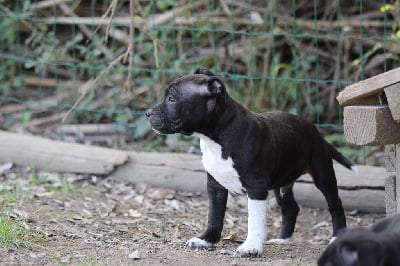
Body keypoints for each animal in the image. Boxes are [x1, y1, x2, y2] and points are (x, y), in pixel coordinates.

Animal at [145, 67, 358, 256]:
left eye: (171, 99)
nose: (147, 113)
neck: (216, 136)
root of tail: (316, 131)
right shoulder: (215, 185)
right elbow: (214, 216)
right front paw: (206, 240)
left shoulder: (256, 187)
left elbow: (254, 220)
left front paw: (251, 248)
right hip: (283, 181)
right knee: (291, 208)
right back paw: (282, 239)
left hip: (323, 174)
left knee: (335, 204)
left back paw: (336, 236)